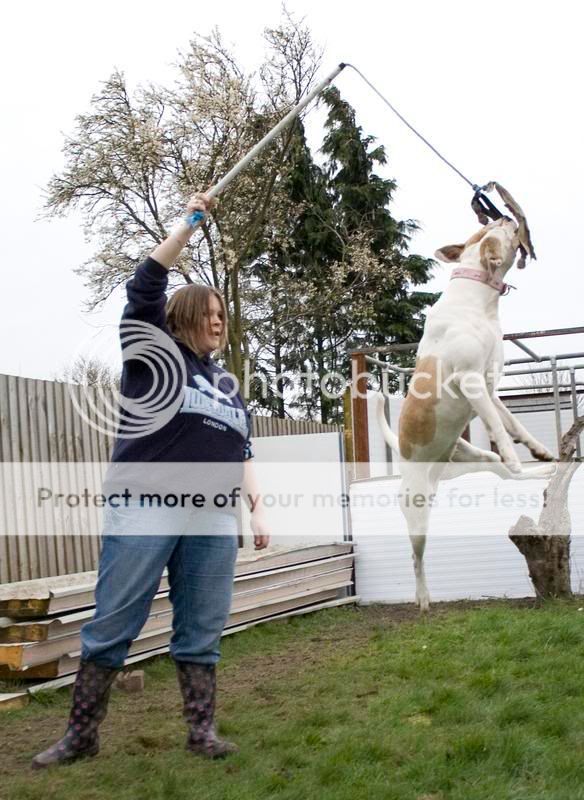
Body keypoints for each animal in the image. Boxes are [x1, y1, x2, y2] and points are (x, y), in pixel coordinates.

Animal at [378, 191, 556, 608]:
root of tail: (408, 457)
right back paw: (423, 597)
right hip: (416, 514)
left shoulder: (490, 387)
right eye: (504, 230)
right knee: (416, 558)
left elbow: (512, 425)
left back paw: (538, 471)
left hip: (473, 459)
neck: (478, 303)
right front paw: (522, 456)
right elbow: (502, 432)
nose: (505, 215)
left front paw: (538, 451)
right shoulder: (473, 382)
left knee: (503, 469)